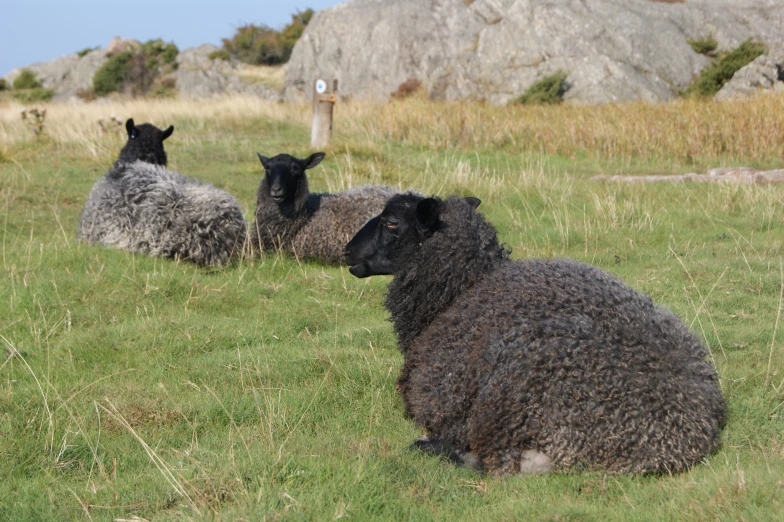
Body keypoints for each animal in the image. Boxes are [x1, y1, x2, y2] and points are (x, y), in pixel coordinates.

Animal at [346, 193, 724, 474]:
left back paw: (431, 447)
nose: (348, 251)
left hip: (504, 399)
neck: (462, 289)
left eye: (391, 222)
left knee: (491, 463)